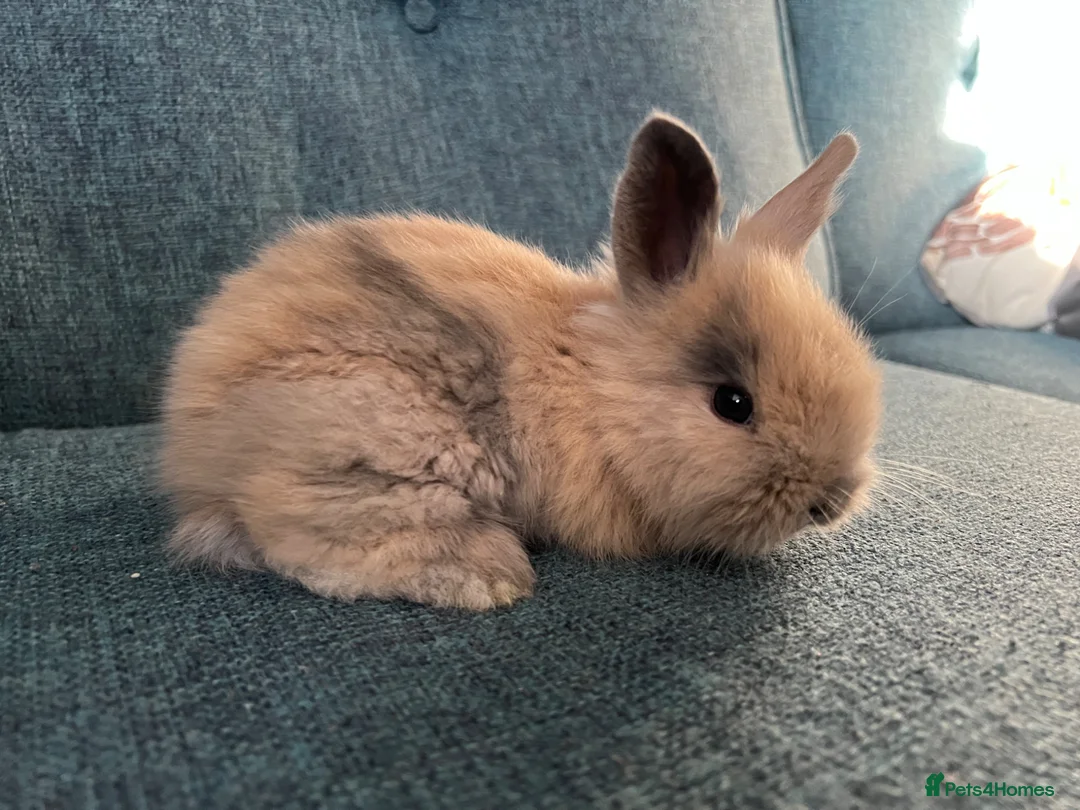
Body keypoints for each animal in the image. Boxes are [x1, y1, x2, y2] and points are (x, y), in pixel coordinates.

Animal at [160, 112, 881, 610]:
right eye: (732, 404)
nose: (831, 501)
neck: (589, 391)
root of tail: (189, 447)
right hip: (386, 443)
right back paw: (491, 577)